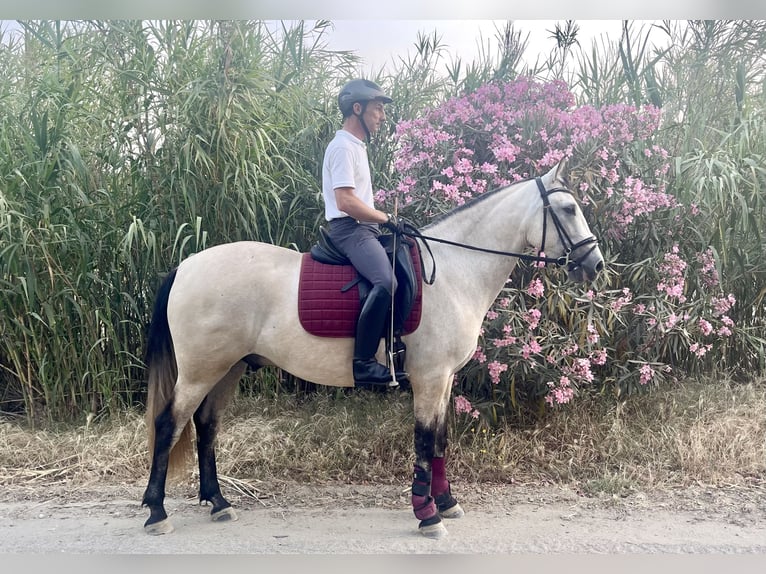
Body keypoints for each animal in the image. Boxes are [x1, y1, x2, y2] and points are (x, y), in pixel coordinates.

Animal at [140, 161, 608, 540]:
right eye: (569, 210)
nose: (596, 264)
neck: (452, 272)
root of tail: (186, 266)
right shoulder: (429, 377)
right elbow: (424, 441)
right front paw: (426, 514)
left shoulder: (444, 379)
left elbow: (440, 440)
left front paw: (446, 503)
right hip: (201, 371)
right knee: (169, 425)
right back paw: (157, 512)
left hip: (229, 368)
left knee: (206, 426)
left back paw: (218, 503)